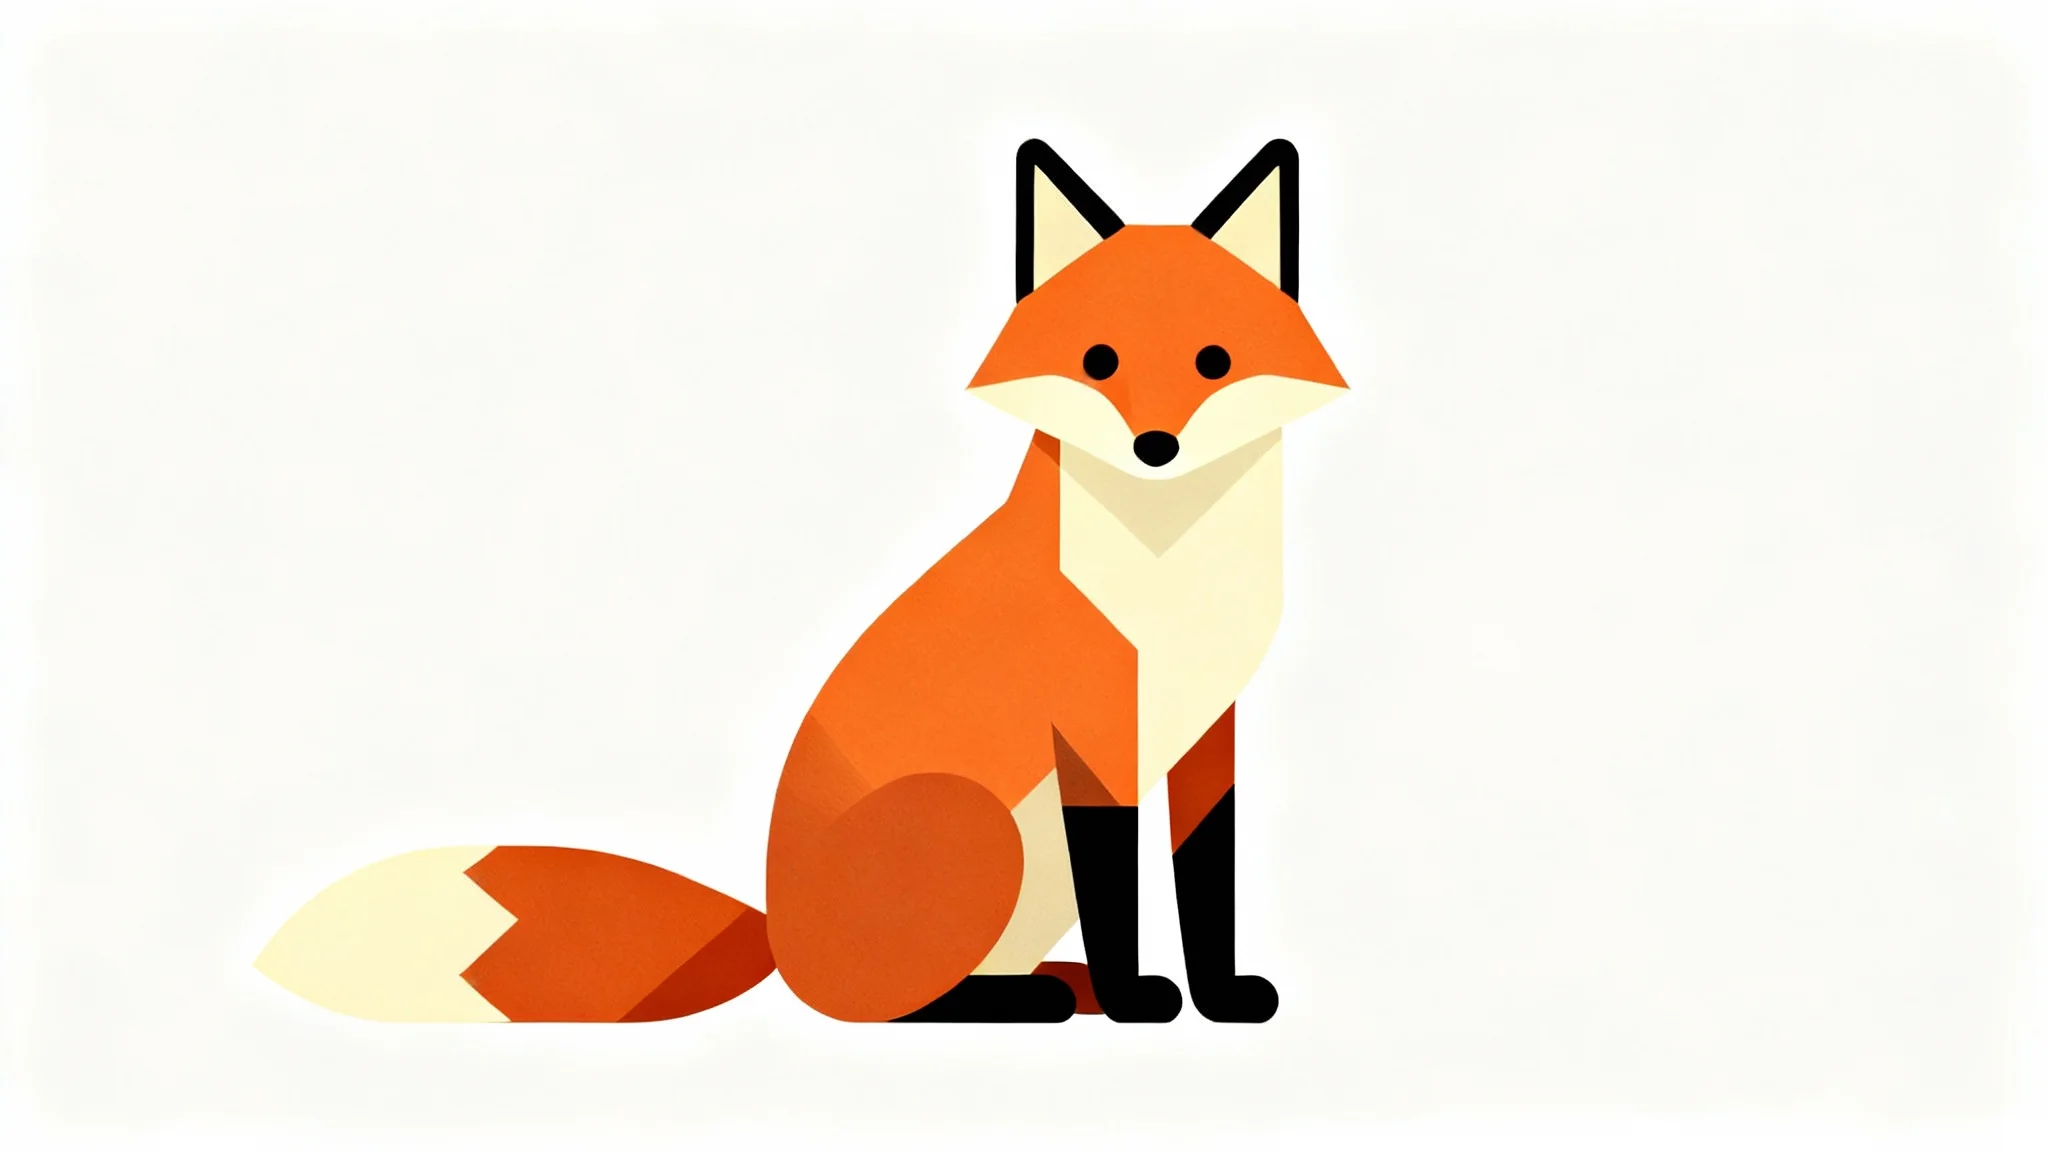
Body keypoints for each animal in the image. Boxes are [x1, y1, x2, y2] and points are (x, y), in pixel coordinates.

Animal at [256, 139, 1347, 1025]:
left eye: (1213, 360)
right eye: (1100, 361)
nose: (1155, 447)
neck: (1165, 572)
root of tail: (774, 933)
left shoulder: (1208, 735)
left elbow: (1207, 884)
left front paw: (1216, 997)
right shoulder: (1091, 740)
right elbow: (1121, 895)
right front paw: (1134, 998)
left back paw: (1051, 987)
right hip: (974, 823)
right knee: (871, 1006)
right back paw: (1021, 1001)